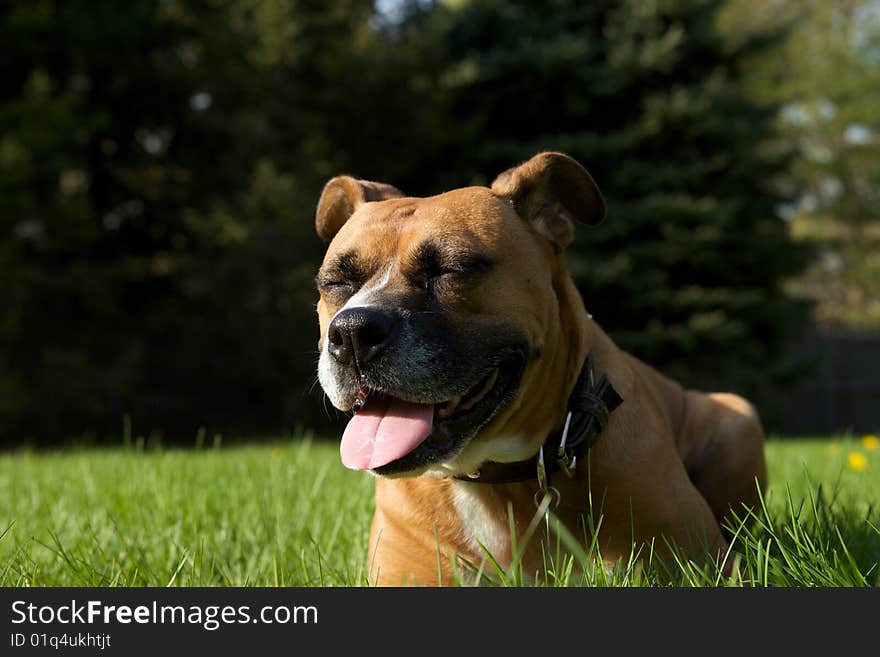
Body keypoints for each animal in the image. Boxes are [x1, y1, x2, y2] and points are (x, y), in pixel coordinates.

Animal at [312, 151, 764, 580]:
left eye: (452, 269)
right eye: (335, 282)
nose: (352, 332)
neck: (496, 474)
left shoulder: (698, 562)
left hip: (737, 416)